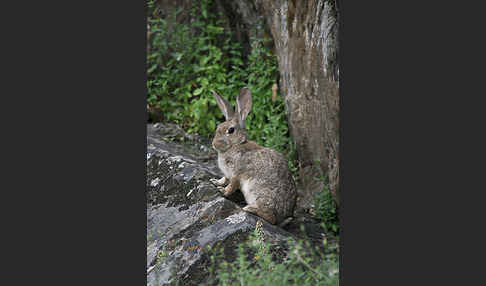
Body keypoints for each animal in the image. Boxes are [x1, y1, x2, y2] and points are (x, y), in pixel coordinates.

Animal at [209, 87, 296, 226]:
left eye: (231, 130)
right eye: (218, 127)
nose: (214, 144)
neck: (236, 145)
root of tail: (283, 218)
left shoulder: (237, 174)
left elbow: (232, 186)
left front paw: (223, 191)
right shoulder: (227, 174)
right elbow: (224, 179)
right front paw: (215, 182)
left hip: (258, 194)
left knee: (271, 218)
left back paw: (250, 209)